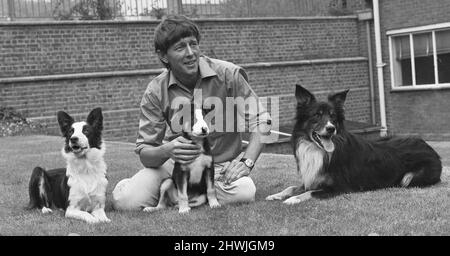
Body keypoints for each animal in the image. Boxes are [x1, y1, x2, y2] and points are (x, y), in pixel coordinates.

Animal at [266, 85, 442, 205]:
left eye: (332, 116)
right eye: (317, 115)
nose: (331, 128)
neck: (317, 150)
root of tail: (429, 147)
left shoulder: (339, 187)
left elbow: (310, 193)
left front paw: (293, 199)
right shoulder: (312, 179)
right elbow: (291, 187)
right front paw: (277, 195)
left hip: (408, 179)